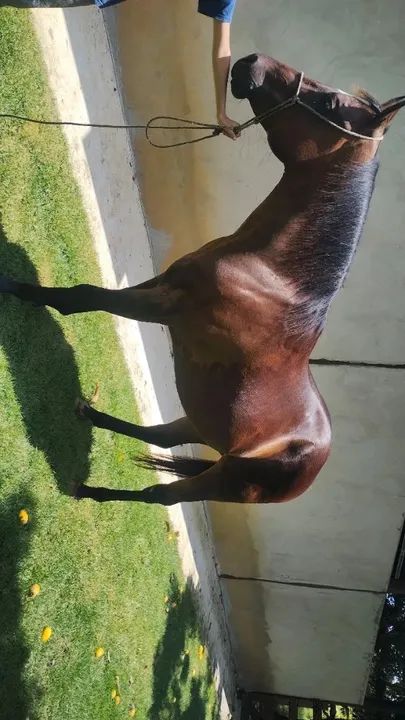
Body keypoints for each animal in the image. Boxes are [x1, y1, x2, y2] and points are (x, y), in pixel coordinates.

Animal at [1, 54, 404, 506]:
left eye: (331, 104)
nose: (252, 62)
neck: (270, 275)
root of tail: (315, 459)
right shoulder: (162, 282)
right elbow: (94, 296)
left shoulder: (163, 305)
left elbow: (84, 297)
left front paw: (12, 287)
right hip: (198, 419)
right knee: (158, 435)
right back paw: (88, 413)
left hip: (223, 480)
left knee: (160, 495)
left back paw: (90, 490)